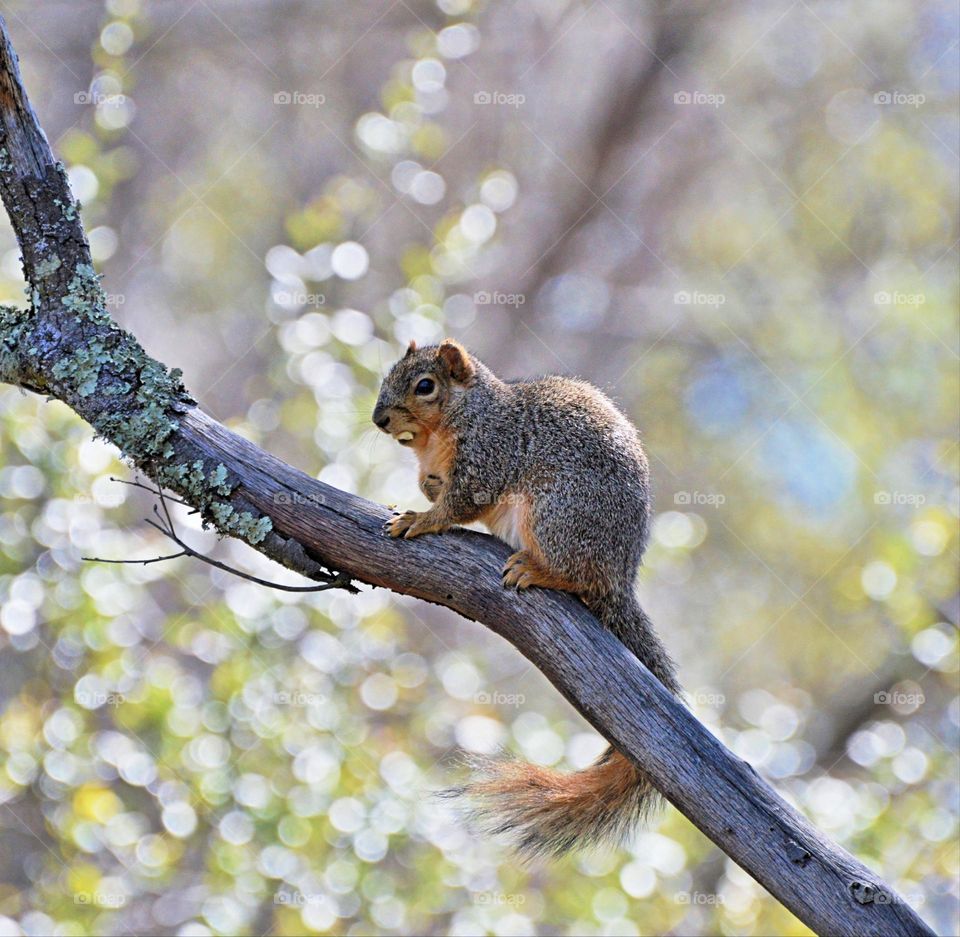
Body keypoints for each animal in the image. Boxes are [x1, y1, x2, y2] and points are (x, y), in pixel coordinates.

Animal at [372, 338, 680, 859]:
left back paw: (536, 569)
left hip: (556, 512)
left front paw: (420, 518)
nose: (379, 420)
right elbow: (435, 487)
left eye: (425, 386)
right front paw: (423, 489)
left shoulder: (488, 456)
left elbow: (459, 505)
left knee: (578, 577)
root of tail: (620, 576)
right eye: (388, 375)